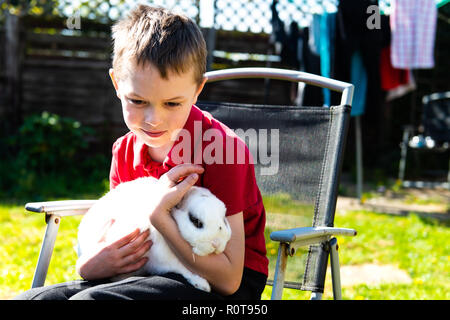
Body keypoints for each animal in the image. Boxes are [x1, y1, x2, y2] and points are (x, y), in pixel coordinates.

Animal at [77, 176, 230, 292]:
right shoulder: (162, 260)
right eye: (195, 221)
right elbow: (183, 268)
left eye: (223, 220)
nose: (216, 244)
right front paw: (203, 285)